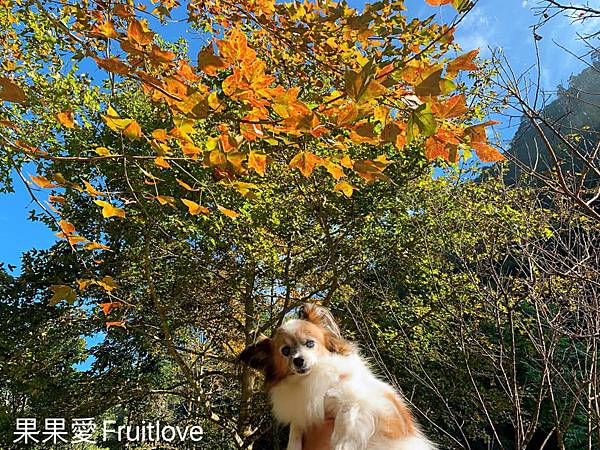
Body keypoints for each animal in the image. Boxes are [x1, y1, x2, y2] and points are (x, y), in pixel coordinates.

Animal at [240, 304, 436, 448]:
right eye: (286, 351)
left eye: (310, 343)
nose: (299, 360)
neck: (310, 378)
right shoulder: (303, 412)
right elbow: (295, 431)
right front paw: (293, 445)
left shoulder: (359, 399)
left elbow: (346, 418)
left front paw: (342, 444)